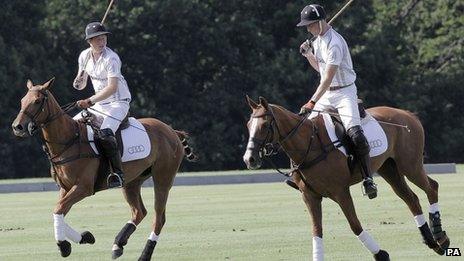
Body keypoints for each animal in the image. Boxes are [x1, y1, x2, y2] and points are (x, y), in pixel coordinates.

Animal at [10, 78, 196, 258]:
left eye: (37, 101)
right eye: (22, 100)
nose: (17, 127)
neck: (68, 141)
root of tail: (171, 130)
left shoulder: (83, 187)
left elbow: (58, 209)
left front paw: (64, 246)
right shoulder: (65, 188)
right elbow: (59, 211)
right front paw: (85, 237)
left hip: (163, 177)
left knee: (159, 218)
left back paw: (144, 255)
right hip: (132, 181)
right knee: (139, 212)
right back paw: (118, 244)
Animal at [243, 96, 450, 260]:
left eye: (264, 125)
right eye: (248, 125)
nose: (249, 159)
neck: (309, 144)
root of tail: (408, 115)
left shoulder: (340, 191)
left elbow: (355, 225)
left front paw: (381, 254)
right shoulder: (310, 195)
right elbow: (316, 231)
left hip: (410, 165)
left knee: (432, 187)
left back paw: (441, 237)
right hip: (389, 168)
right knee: (411, 198)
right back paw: (431, 241)